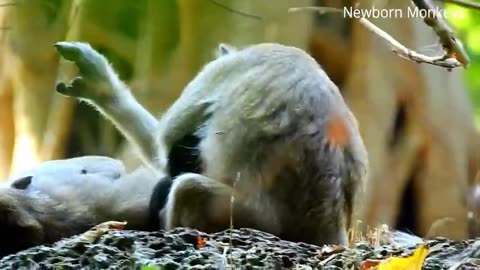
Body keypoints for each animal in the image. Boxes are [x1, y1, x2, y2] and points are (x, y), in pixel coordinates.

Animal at [56, 41, 370, 246]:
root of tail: (326, 225)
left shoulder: (220, 70)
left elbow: (165, 145)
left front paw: (103, 87)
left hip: (256, 220)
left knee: (186, 186)